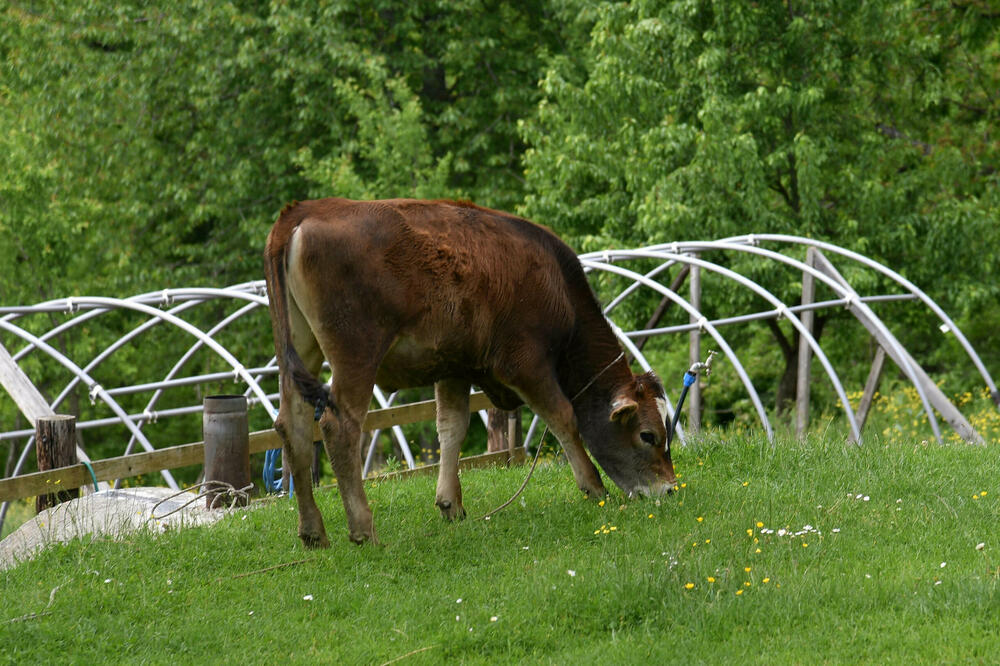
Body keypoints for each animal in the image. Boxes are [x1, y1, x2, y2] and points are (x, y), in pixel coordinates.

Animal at [264, 197, 680, 544]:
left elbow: (452, 428)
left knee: (292, 425)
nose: (671, 489)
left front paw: (450, 503)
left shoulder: (454, 367)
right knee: (340, 426)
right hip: (357, 351)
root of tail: (304, 210)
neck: (558, 289)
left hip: (299, 348)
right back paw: (364, 528)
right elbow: (563, 417)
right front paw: (593, 487)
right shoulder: (525, 363)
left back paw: (313, 532)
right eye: (648, 435)